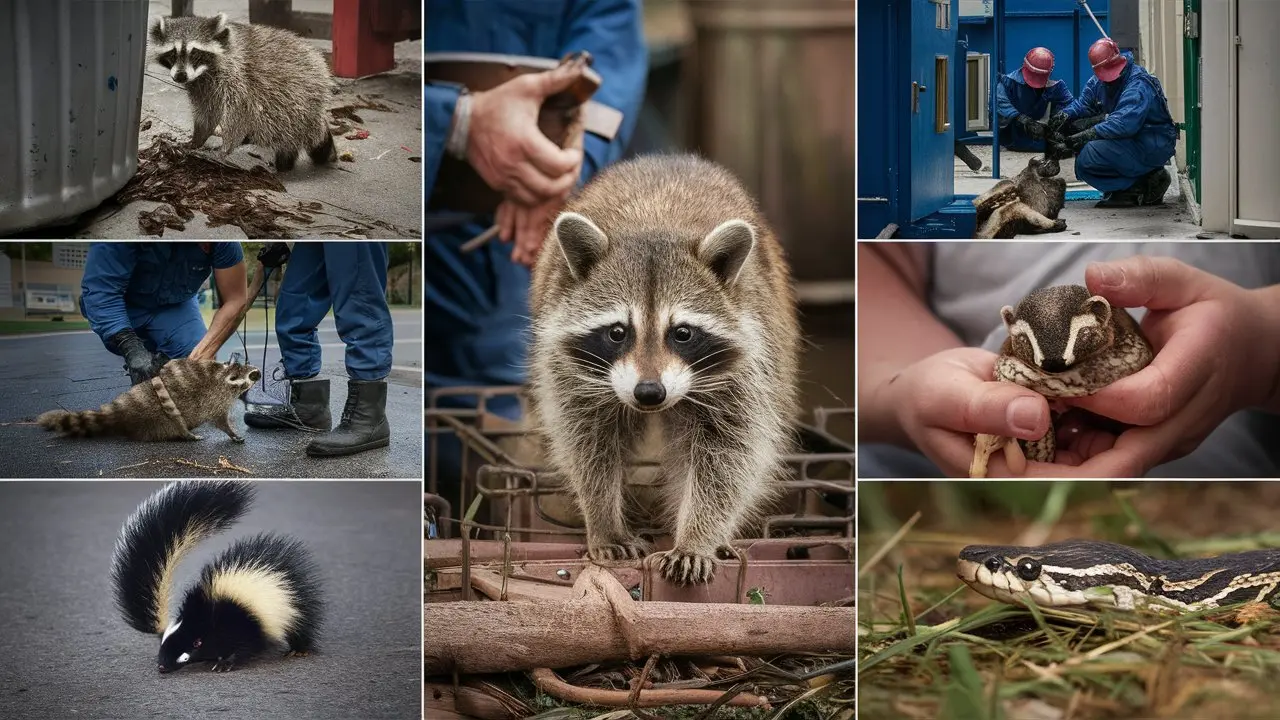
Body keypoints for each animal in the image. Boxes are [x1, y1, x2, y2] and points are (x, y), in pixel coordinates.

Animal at [38, 356, 262, 440]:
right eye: (252, 376)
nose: (259, 372)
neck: (227, 375)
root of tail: (123, 410)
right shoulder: (216, 398)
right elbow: (220, 420)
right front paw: (232, 432)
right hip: (159, 419)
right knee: (173, 425)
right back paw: (186, 434)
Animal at [111, 479, 325, 671]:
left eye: (186, 654)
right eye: (162, 647)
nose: (162, 666)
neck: (202, 618)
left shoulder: (242, 625)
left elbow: (245, 647)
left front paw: (225, 663)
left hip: (294, 605)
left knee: (300, 625)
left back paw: (298, 649)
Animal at [147, 13, 337, 170]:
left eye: (195, 53)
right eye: (172, 53)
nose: (180, 76)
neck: (204, 72)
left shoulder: (238, 77)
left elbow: (237, 114)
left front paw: (224, 148)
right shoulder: (201, 86)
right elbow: (206, 113)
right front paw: (197, 140)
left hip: (299, 93)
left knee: (280, 122)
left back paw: (285, 157)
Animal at [524, 154, 793, 586]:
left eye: (682, 333)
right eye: (618, 332)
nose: (649, 393)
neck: (655, 226)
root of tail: (669, 157)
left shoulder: (747, 364)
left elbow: (729, 455)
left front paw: (697, 536)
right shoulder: (569, 367)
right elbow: (587, 444)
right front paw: (603, 518)